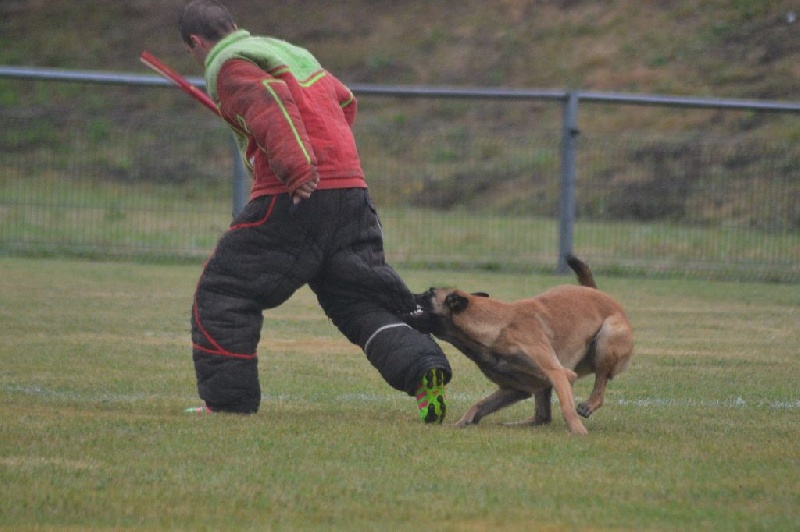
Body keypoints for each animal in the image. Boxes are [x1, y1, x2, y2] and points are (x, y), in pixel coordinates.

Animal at [418, 256, 632, 434]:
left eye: (428, 293)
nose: (410, 293)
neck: (496, 326)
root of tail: (598, 292)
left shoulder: (559, 373)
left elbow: (566, 407)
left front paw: (579, 432)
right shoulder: (517, 388)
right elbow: (479, 405)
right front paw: (462, 423)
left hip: (607, 337)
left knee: (600, 384)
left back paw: (589, 405)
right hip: (542, 386)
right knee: (542, 417)